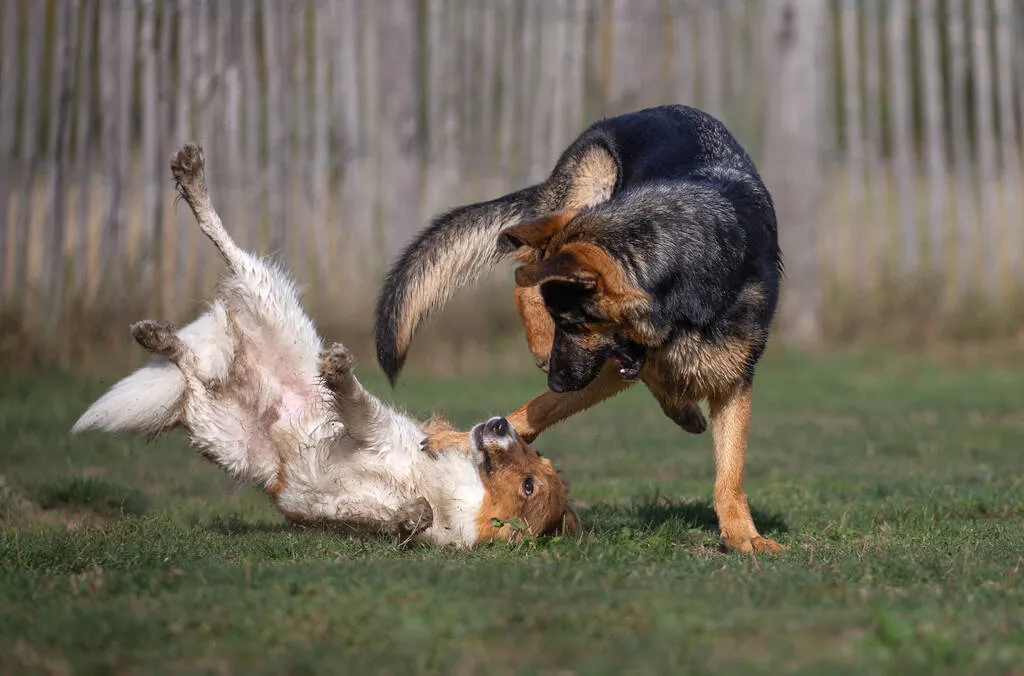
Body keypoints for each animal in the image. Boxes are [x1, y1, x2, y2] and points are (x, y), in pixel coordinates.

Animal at [74, 145, 577, 544]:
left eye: (529, 484)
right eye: (534, 454)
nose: (500, 423)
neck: (447, 488)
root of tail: (240, 370)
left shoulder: (349, 507)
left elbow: (397, 518)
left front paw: (407, 515)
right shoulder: (380, 430)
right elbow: (357, 402)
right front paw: (339, 371)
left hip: (221, 436)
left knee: (192, 369)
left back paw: (159, 336)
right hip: (269, 303)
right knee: (223, 243)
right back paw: (192, 179)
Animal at [376, 105, 782, 553]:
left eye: (572, 324)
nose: (554, 378)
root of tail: (636, 112)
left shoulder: (731, 380)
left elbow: (730, 471)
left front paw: (744, 536)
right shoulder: (603, 365)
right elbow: (537, 409)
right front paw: (458, 439)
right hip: (585, 190)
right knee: (523, 269)